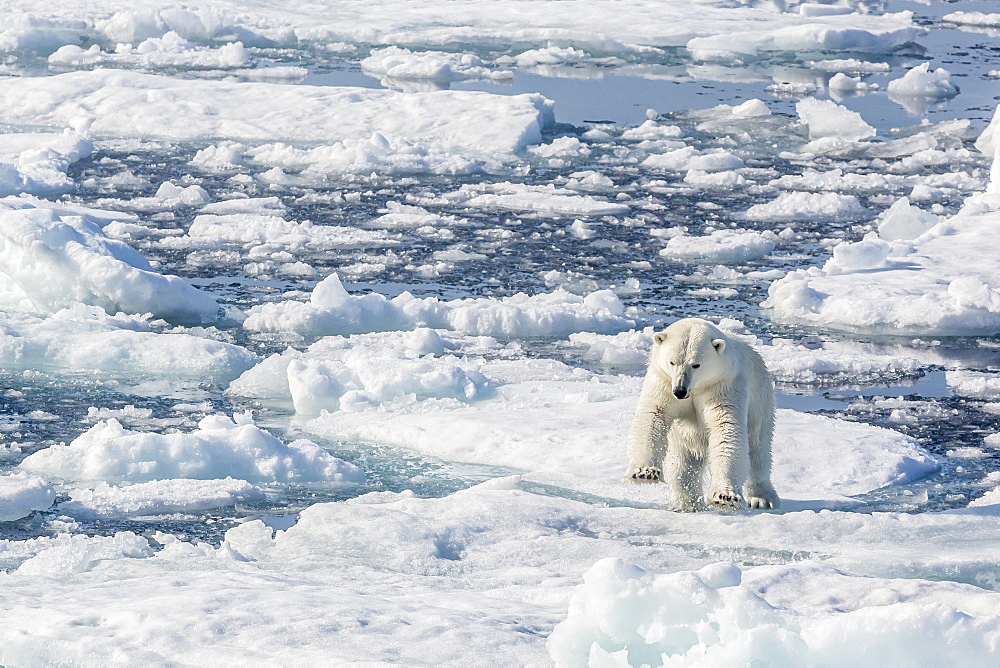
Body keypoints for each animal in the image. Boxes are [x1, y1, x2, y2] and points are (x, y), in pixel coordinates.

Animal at [624, 318, 780, 512]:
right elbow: (653, 416)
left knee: (759, 447)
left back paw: (762, 498)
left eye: (696, 364)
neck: (697, 387)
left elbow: (725, 430)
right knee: (683, 464)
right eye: (672, 362)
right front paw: (644, 472)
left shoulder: (723, 386)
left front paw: (724, 497)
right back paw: (686, 503)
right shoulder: (663, 382)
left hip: (760, 399)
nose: (680, 390)